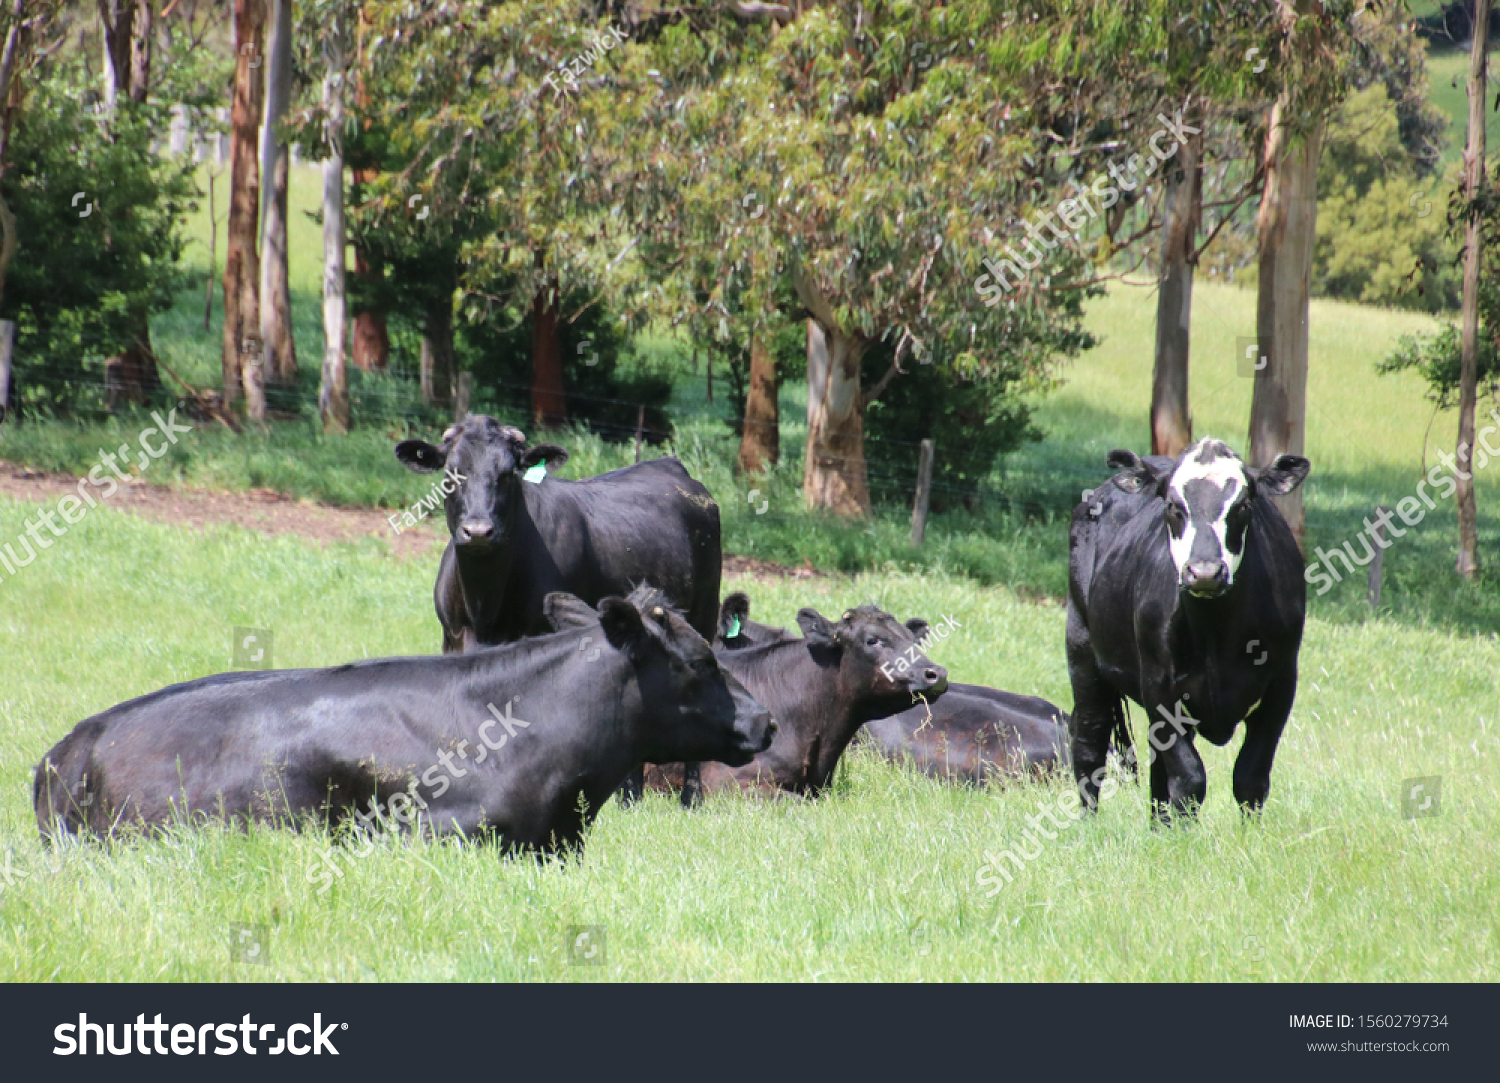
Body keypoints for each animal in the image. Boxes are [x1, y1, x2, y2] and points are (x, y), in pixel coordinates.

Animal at [396, 414, 723, 804]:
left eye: (508, 473)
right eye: (451, 473)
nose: (477, 531)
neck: (484, 607)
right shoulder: (453, 637)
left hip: (705, 610)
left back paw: (691, 796)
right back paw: (630, 797)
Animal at [1068, 438, 1314, 816]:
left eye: (1242, 505)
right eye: (1173, 505)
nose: (1205, 572)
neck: (1216, 630)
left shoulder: (1282, 684)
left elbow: (1250, 779)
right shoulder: (1159, 686)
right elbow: (1188, 779)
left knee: (1156, 774)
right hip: (1081, 649)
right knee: (1088, 744)